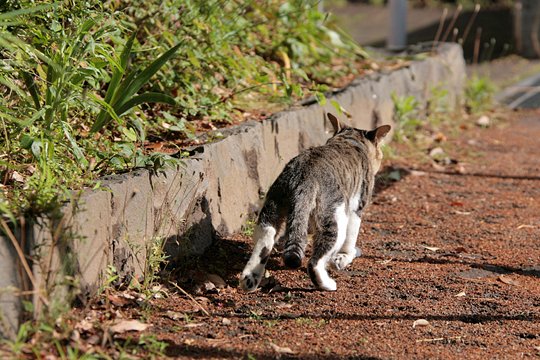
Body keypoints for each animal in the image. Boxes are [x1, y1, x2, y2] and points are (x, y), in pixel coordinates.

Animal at [239, 114, 388, 292]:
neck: (350, 140)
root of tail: (304, 177)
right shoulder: (356, 207)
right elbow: (351, 238)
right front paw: (345, 256)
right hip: (336, 218)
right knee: (315, 262)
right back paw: (328, 284)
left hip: (273, 206)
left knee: (265, 238)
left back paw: (250, 280)